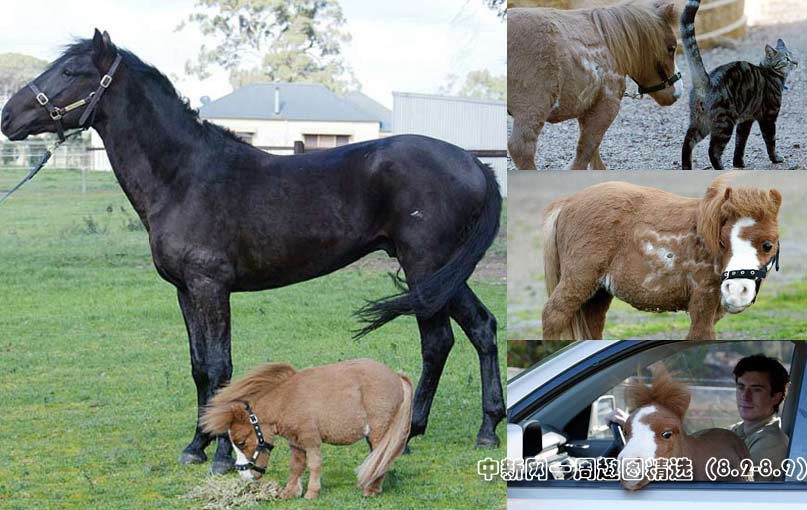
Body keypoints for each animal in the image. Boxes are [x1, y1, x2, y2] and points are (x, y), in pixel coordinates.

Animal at [0, 30, 505, 473]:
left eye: (70, 71)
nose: (7, 115)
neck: (185, 177)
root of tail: (473, 162)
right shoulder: (185, 291)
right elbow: (199, 367)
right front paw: (196, 445)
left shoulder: (211, 286)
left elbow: (220, 367)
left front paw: (224, 456)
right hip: (443, 273)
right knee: (481, 327)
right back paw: (483, 428)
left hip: (425, 267)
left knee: (437, 342)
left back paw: (415, 431)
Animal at [201, 359, 412, 499]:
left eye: (241, 442)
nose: (244, 476)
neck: (287, 400)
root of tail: (396, 377)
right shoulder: (295, 443)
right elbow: (296, 466)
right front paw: (289, 492)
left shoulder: (311, 440)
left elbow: (314, 464)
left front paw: (312, 493)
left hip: (379, 430)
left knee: (381, 456)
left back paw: (372, 490)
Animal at [507, 0, 682, 170]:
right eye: (671, 48)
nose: (677, 92)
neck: (609, 44)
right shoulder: (606, 106)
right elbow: (586, 149)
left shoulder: (587, 109)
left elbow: (593, 153)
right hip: (532, 110)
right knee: (521, 149)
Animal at [542, 174, 781, 339]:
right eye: (722, 242)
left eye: (768, 245)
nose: (737, 291)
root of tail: (568, 202)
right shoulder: (702, 300)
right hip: (579, 280)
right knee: (553, 315)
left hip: (597, 294)